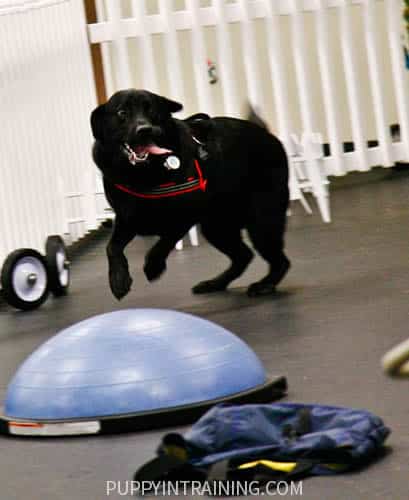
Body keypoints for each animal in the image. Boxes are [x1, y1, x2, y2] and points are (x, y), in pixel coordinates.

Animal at [90, 89, 290, 298]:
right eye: (122, 113)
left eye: (152, 110)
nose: (144, 129)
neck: (144, 176)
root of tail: (267, 134)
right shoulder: (127, 219)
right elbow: (112, 247)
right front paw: (118, 280)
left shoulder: (184, 217)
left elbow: (163, 243)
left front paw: (153, 267)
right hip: (217, 228)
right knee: (244, 256)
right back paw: (214, 283)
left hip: (262, 223)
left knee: (280, 261)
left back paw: (265, 285)